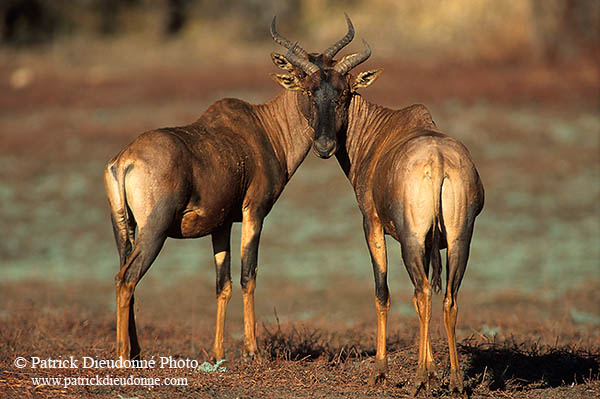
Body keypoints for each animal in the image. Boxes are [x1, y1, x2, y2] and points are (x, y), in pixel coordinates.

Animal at [103, 19, 358, 362]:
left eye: (341, 89)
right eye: (306, 86)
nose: (325, 146)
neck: (263, 127)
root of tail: (125, 160)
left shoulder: (220, 224)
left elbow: (222, 284)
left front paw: (217, 353)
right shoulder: (254, 212)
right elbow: (248, 275)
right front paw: (253, 351)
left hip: (123, 229)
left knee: (123, 273)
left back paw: (136, 353)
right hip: (154, 229)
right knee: (127, 279)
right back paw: (122, 357)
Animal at [274, 18, 486, 394]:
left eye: (343, 93)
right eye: (310, 91)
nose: (324, 146)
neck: (382, 130)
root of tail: (439, 161)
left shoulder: (372, 224)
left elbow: (381, 292)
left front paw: (381, 372)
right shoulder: (433, 242)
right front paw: (435, 371)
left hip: (411, 240)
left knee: (421, 293)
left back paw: (418, 381)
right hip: (460, 238)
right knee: (447, 297)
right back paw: (456, 381)